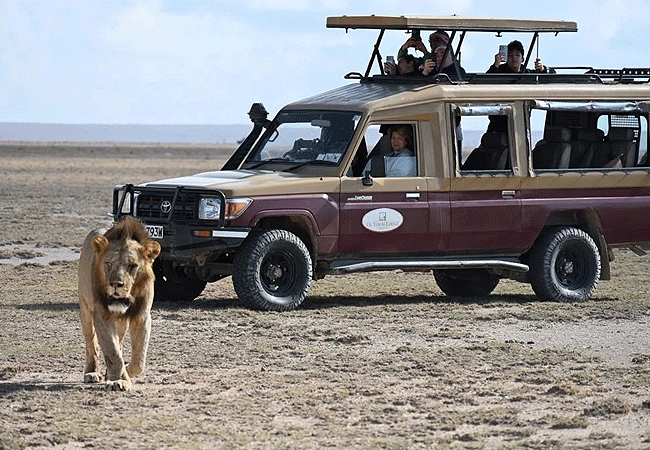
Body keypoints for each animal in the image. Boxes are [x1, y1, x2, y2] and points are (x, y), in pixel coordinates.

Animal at [78, 215, 160, 390]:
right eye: (108, 264)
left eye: (132, 265)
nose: (116, 284)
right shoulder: (102, 314)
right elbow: (112, 351)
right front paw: (119, 380)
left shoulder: (142, 316)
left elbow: (138, 359)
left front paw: (125, 372)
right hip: (85, 309)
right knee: (91, 344)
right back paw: (92, 373)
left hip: (121, 323)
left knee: (119, 341)